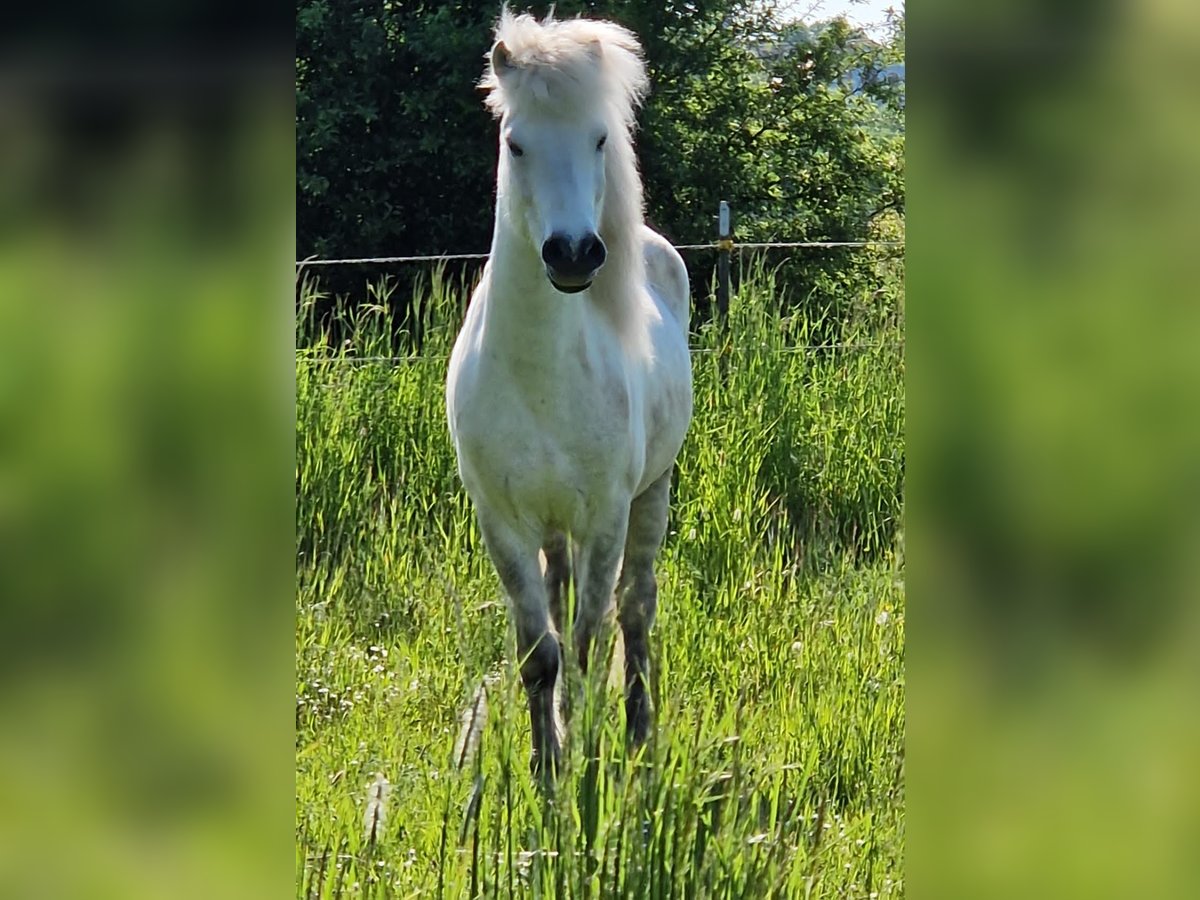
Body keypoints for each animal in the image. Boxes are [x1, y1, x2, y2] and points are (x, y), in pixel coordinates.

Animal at [445, 9, 692, 780]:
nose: (574, 254)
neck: (540, 380)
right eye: (515, 142)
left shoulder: (605, 518)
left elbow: (587, 641)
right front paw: (546, 765)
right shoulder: (502, 523)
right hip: (552, 528)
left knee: (636, 608)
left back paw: (639, 731)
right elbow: (540, 651)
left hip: (652, 493)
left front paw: (584, 759)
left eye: (600, 138)